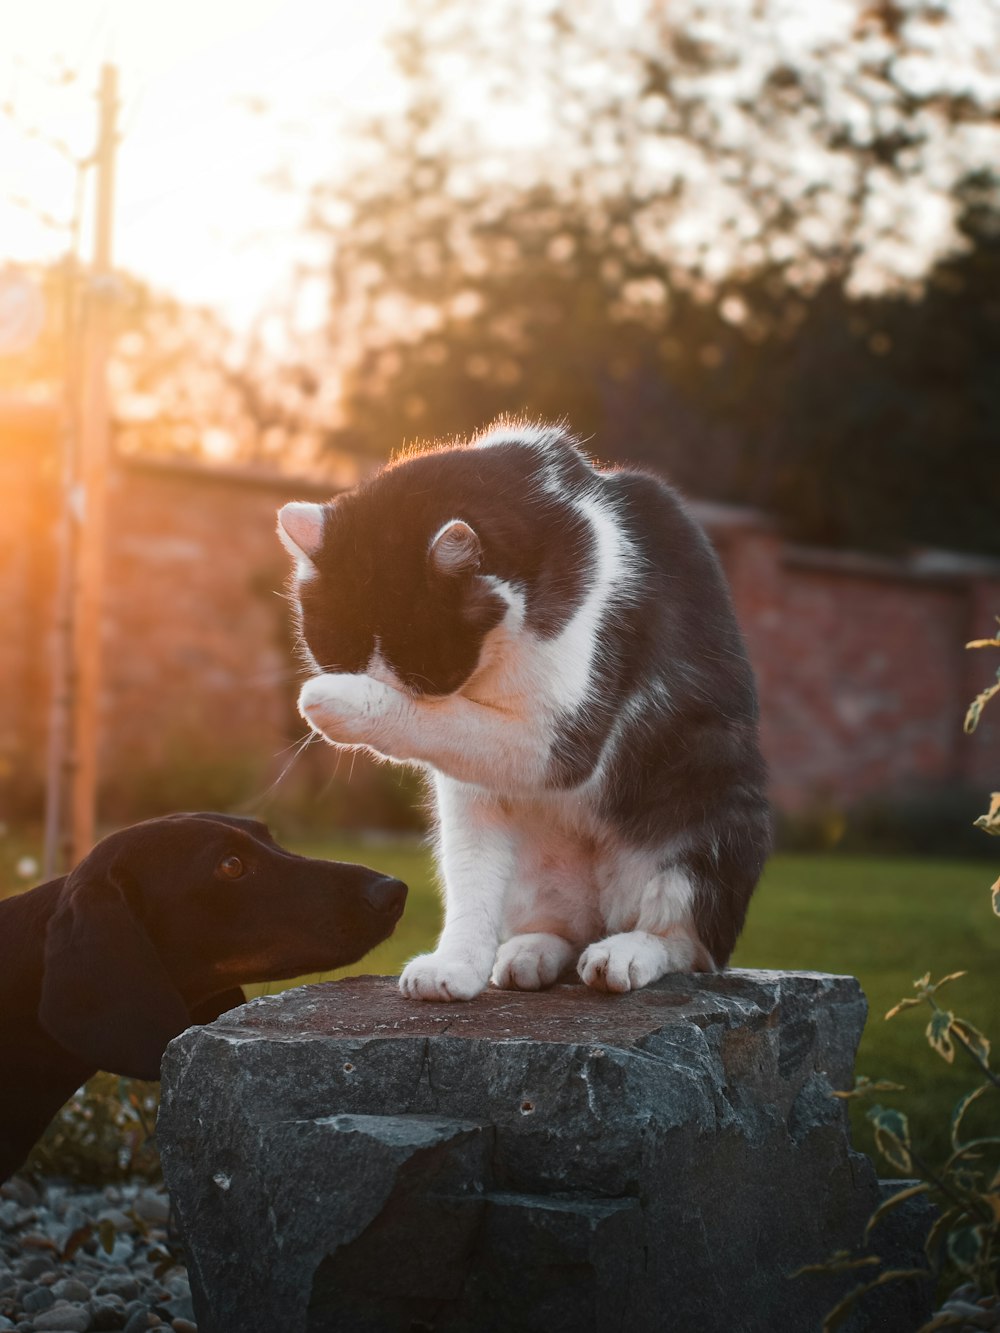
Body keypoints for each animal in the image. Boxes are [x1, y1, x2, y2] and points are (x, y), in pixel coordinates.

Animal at [278, 423, 773, 1002]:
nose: (365, 683)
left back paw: (628, 952)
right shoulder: (470, 785)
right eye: (339, 648)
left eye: (424, 666)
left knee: (686, 942)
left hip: (714, 812)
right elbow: (470, 874)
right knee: (564, 925)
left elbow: (453, 724)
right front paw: (456, 965)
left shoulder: (558, 735)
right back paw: (533, 951)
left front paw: (339, 700)